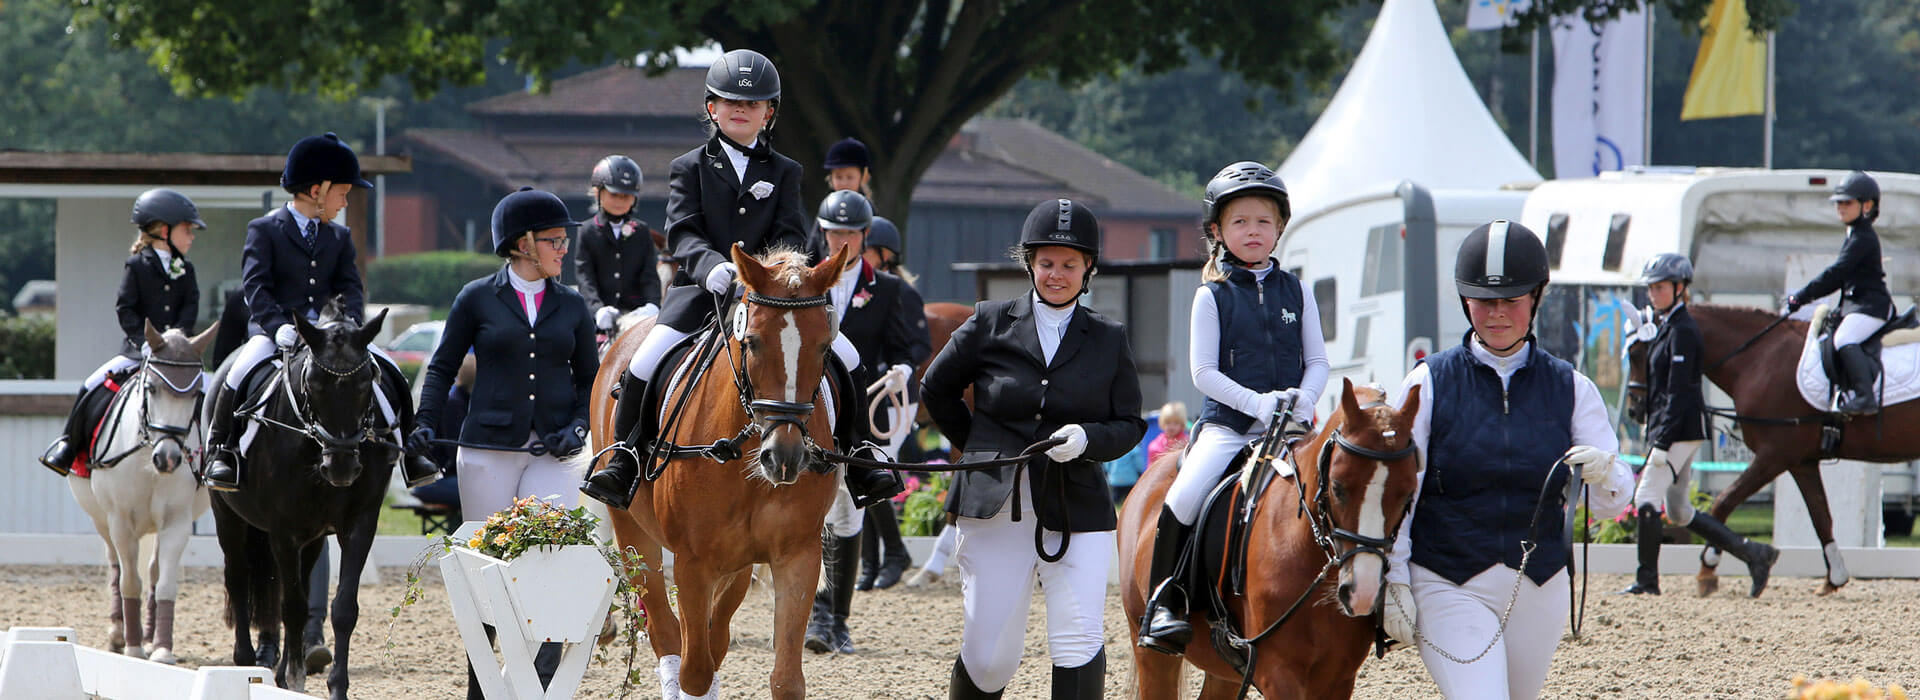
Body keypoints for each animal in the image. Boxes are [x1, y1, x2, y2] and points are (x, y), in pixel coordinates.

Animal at [66, 320, 216, 659]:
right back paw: (117, 635)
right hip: (102, 521)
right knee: (115, 567)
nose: (169, 459)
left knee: (153, 571)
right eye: (152, 389)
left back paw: (148, 637)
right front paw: (133, 647)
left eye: (195, 395)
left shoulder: (176, 522)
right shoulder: (120, 521)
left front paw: (161, 649)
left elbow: (164, 583)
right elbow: (129, 583)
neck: (148, 454)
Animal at [206, 297, 397, 694]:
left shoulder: (360, 524)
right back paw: (246, 662)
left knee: (301, 581)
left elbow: (342, 607)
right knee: (239, 578)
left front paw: (337, 685)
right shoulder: (283, 529)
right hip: (227, 515)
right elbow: (291, 604)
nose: (341, 466)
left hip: (311, 536)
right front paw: (293, 677)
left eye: (366, 381)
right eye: (313, 382)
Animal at [587, 242, 852, 694]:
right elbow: (694, 671)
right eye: (754, 342)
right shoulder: (693, 564)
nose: (785, 458)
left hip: (737, 564)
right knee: (667, 632)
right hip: (634, 533)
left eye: (823, 347)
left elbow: (785, 679)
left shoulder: (797, 555)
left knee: (717, 635)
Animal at [1121, 379, 1420, 694]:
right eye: (1337, 487)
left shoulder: (1339, 677)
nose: (1362, 593)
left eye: (1408, 494)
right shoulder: (1278, 673)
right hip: (1151, 654)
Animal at [1620, 301, 1920, 594]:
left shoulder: (1774, 455)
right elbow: (1821, 517)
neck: (1759, 358)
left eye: (1636, 353)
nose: (1635, 410)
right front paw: (1834, 577)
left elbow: (1724, 500)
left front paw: (1709, 569)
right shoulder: (1801, 462)